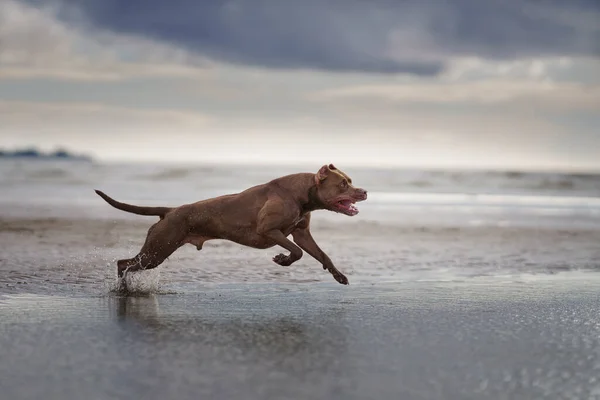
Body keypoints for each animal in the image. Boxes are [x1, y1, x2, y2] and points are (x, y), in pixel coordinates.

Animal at [96, 164, 368, 286]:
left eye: (350, 180)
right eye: (343, 184)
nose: (364, 191)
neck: (302, 195)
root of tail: (170, 211)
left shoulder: (302, 234)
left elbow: (320, 254)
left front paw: (338, 275)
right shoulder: (268, 230)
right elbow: (297, 252)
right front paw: (283, 260)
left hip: (158, 249)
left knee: (128, 263)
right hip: (157, 249)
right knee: (124, 263)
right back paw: (122, 287)